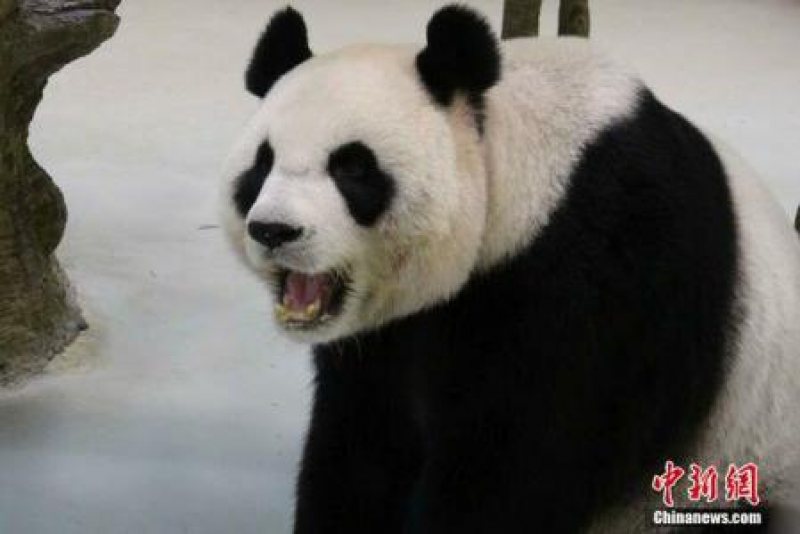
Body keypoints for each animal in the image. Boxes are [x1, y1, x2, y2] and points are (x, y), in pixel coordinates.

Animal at [221, 5, 800, 533]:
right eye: (262, 164)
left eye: (353, 167)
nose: (273, 230)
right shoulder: (385, 342)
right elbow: (362, 451)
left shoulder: (598, 283)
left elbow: (518, 469)